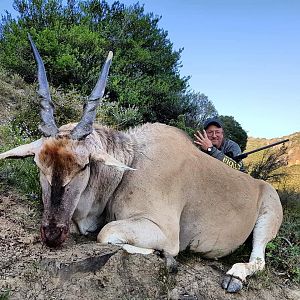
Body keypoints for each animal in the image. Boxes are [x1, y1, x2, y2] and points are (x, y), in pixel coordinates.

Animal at [0, 35, 282, 292]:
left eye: (83, 166)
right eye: (39, 165)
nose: (51, 234)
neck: (131, 164)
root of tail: (262, 186)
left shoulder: (165, 232)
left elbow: (106, 234)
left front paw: (164, 258)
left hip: (266, 221)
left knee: (259, 260)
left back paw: (234, 276)